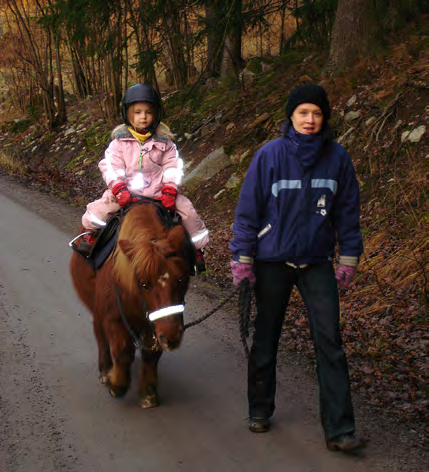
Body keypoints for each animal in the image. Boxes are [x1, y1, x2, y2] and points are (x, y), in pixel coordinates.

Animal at [70, 203, 191, 410]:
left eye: (181, 280)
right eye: (145, 284)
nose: (172, 338)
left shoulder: (154, 323)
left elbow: (152, 354)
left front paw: (149, 392)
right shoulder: (113, 317)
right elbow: (123, 351)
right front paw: (116, 383)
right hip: (98, 309)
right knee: (100, 335)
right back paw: (105, 369)